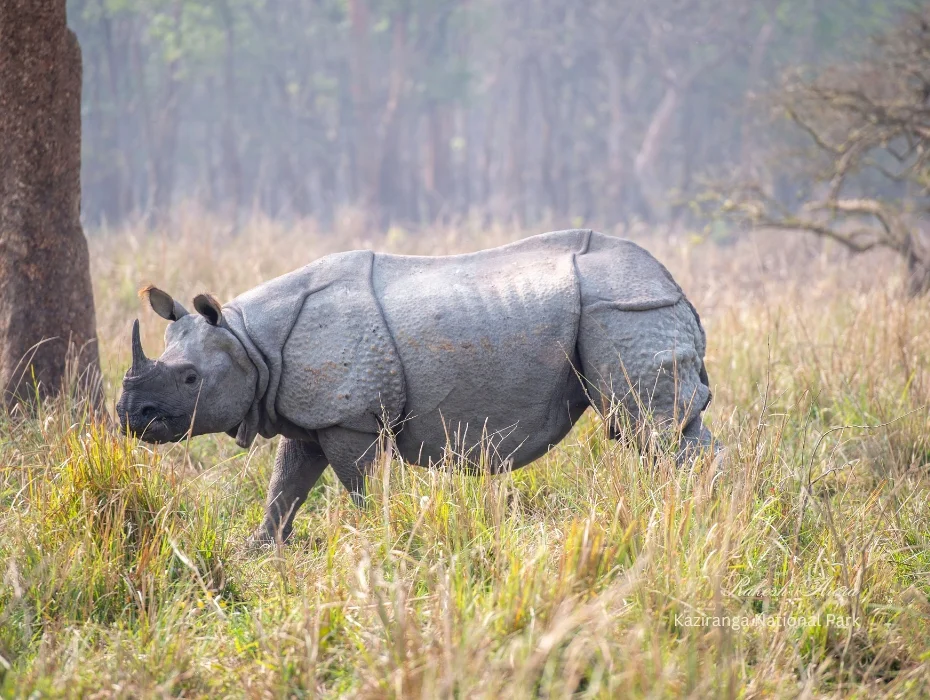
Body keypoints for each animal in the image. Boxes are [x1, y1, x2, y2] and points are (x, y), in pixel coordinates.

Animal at [117, 229, 717, 542]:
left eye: (190, 379)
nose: (127, 415)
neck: (248, 341)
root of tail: (675, 284)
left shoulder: (349, 417)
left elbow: (359, 484)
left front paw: (376, 536)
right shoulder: (309, 415)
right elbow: (285, 487)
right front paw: (259, 549)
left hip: (626, 308)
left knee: (652, 429)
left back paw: (684, 512)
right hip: (629, 306)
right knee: (670, 429)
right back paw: (703, 507)